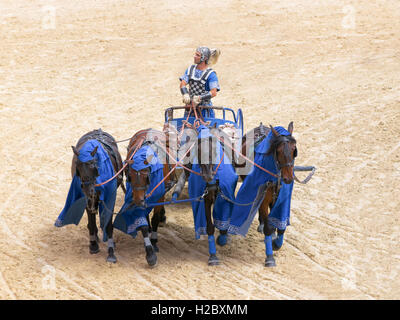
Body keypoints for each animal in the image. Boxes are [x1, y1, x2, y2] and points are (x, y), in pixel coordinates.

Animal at [54, 129, 123, 264]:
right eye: (78, 165)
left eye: (92, 165)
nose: (87, 189)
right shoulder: (86, 198)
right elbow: (91, 220)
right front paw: (93, 245)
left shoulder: (109, 197)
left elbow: (109, 224)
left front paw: (111, 252)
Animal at [114, 128, 178, 268]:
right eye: (130, 176)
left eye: (146, 177)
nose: (139, 201)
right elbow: (142, 221)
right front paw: (150, 254)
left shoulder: (159, 195)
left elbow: (155, 218)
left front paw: (153, 241)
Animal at [228, 121, 296, 266]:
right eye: (279, 151)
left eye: (294, 150)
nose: (288, 178)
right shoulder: (263, 197)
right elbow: (268, 227)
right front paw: (270, 257)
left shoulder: (280, 198)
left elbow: (280, 225)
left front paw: (277, 242)